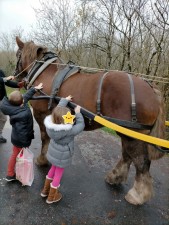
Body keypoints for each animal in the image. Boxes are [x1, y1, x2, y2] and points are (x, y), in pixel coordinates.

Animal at [13, 36, 166, 206]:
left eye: (17, 55)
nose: (15, 76)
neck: (45, 73)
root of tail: (150, 87)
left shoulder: (41, 115)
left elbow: (45, 138)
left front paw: (42, 160)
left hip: (133, 133)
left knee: (140, 161)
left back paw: (137, 194)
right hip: (127, 132)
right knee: (127, 156)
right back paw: (115, 177)